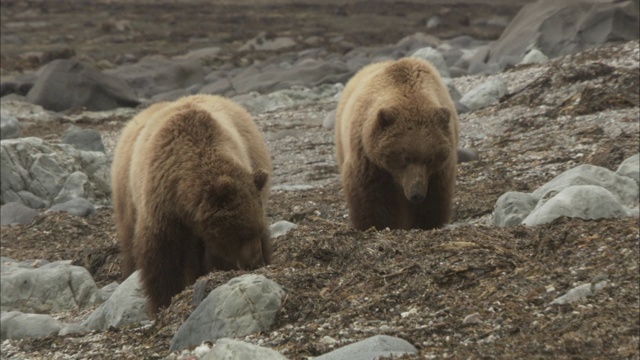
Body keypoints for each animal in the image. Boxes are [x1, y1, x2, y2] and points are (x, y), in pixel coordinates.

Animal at [112, 94, 272, 314]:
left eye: (256, 230)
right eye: (244, 233)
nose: (257, 262)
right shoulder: (162, 207)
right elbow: (161, 257)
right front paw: (163, 302)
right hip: (126, 194)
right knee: (129, 239)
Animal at [336, 57, 460, 229]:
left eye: (430, 158)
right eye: (405, 157)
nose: (416, 194)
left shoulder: (439, 170)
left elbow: (435, 198)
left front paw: (426, 221)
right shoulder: (369, 160)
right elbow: (369, 196)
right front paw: (375, 224)